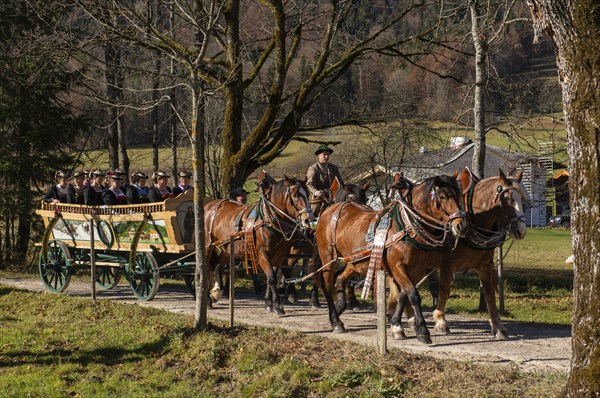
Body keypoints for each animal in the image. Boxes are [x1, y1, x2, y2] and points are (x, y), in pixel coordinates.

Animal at [205, 176, 314, 316]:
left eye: (307, 194)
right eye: (295, 195)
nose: (309, 219)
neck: (268, 221)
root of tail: (209, 205)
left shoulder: (278, 255)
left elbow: (273, 276)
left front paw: (269, 303)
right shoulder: (262, 255)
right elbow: (272, 278)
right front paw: (277, 306)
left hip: (227, 248)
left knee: (218, 265)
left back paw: (216, 291)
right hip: (208, 245)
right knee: (205, 266)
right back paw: (208, 299)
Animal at [314, 173, 468, 344]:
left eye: (458, 195)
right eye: (442, 196)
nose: (461, 225)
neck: (406, 226)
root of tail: (329, 210)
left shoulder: (417, 270)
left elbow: (403, 296)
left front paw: (397, 326)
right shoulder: (397, 267)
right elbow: (413, 295)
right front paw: (422, 330)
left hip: (355, 261)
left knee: (340, 279)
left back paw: (339, 309)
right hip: (328, 256)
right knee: (327, 285)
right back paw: (336, 321)